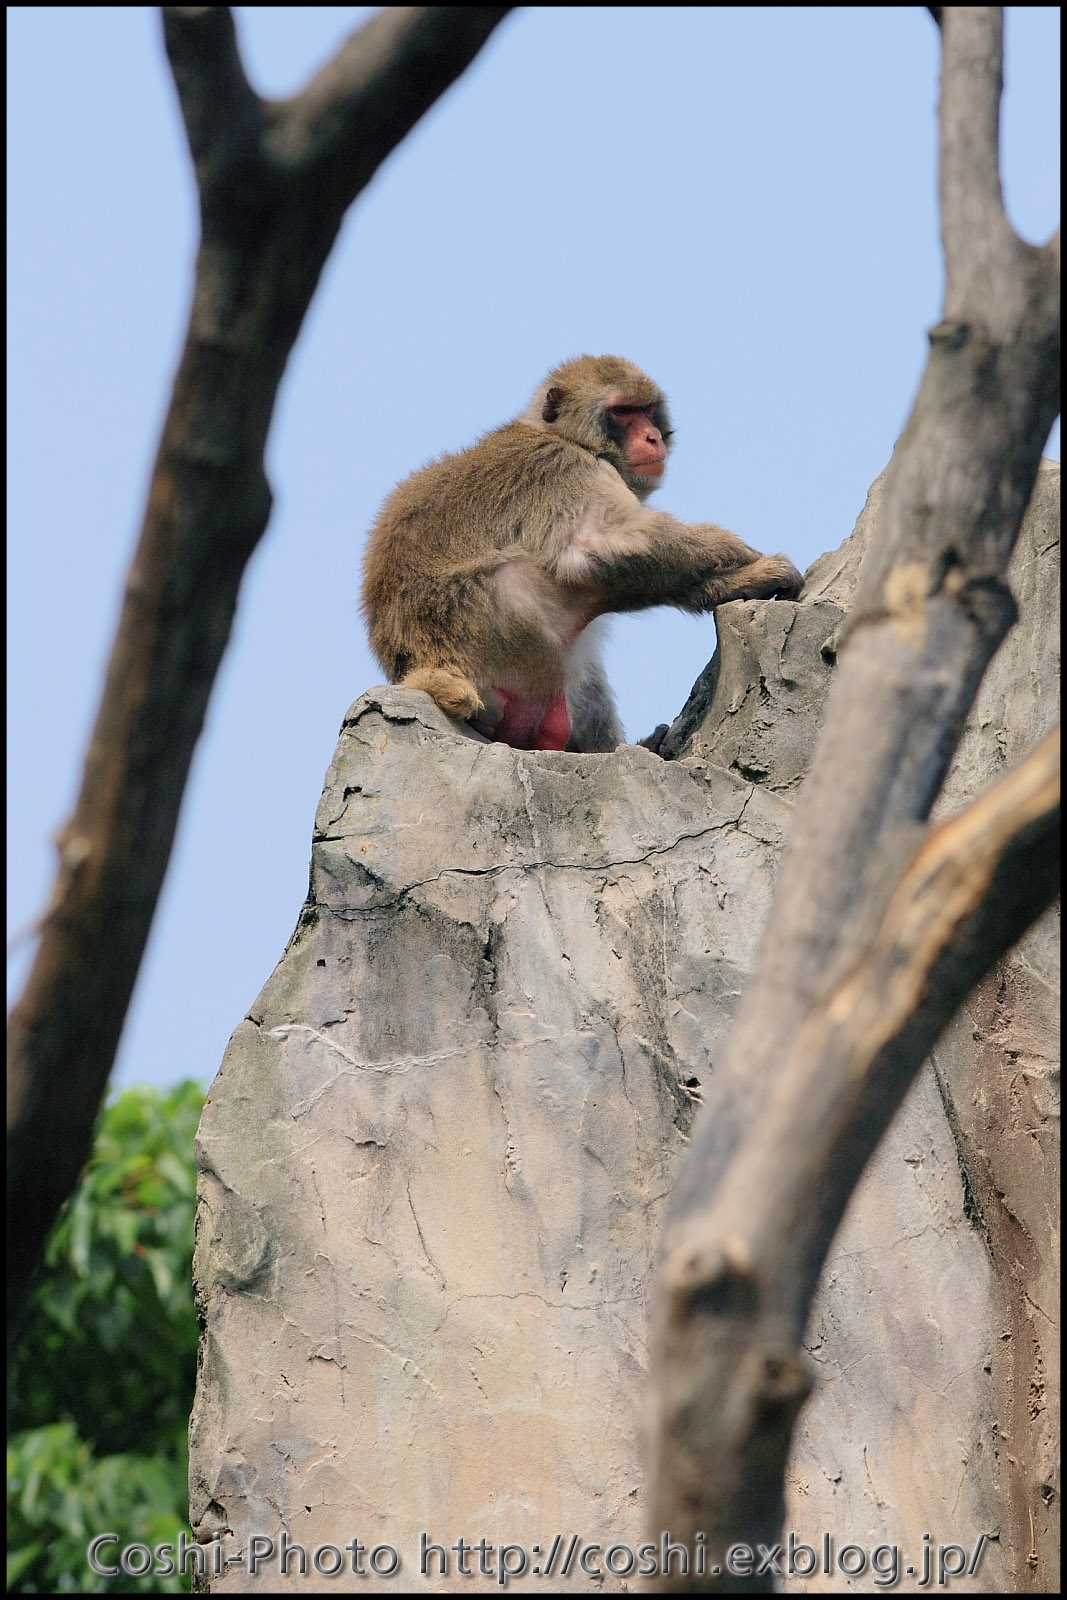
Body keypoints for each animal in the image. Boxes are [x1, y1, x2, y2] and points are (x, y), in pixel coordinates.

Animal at [361, 353, 799, 752]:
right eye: (622, 411)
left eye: (647, 410)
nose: (652, 438)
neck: (571, 439)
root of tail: (414, 661)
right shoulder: (566, 470)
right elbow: (592, 549)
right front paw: (735, 551)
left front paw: (736, 582)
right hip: (488, 632)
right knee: (525, 578)